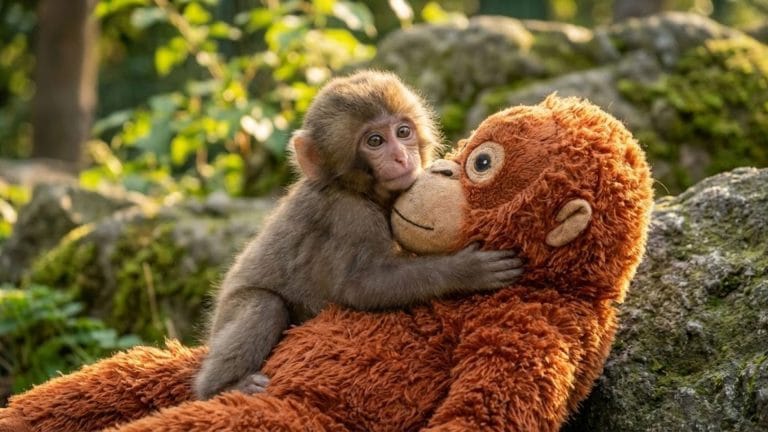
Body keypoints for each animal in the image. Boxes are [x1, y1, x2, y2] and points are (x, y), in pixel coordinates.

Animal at [193, 70, 524, 400]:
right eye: (374, 141)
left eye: (403, 131)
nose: (401, 156)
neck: (358, 189)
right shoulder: (349, 216)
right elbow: (361, 286)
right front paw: (467, 269)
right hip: (231, 310)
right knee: (265, 306)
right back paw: (225, 386)